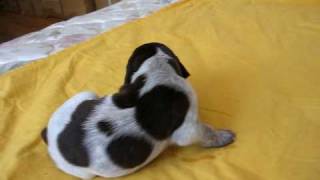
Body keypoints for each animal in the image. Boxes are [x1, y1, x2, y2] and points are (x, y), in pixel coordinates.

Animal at [41, 42, 235, 179]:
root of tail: (47, 134)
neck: (156, 69)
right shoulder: (189, 128)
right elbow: (206, 131)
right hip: (82, 173)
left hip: (85, 94)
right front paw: (223, 137)